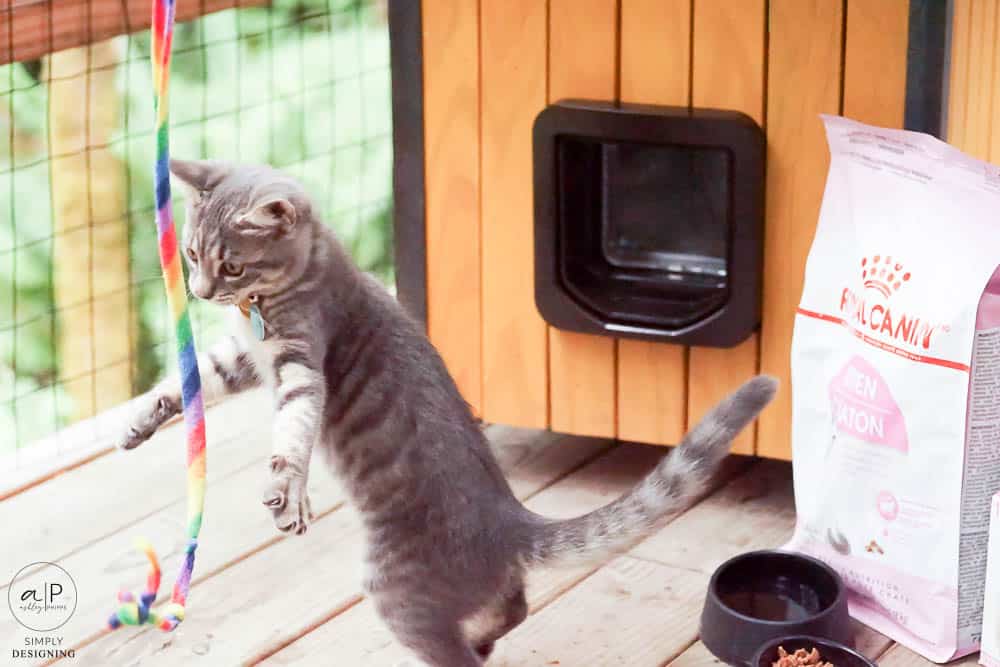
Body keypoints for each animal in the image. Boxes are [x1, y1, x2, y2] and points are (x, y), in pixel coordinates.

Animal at [123, 159, 780, 664]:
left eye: (232, 265)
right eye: (189, 254)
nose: (201, 292)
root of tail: (511, 521)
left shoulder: (300, 363)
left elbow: (293, 429)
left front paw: (288, 490)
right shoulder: (245, 358)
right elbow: (196, 378)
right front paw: (141, 417)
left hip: (396, 589)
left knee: (460, 648)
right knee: (511, 603)